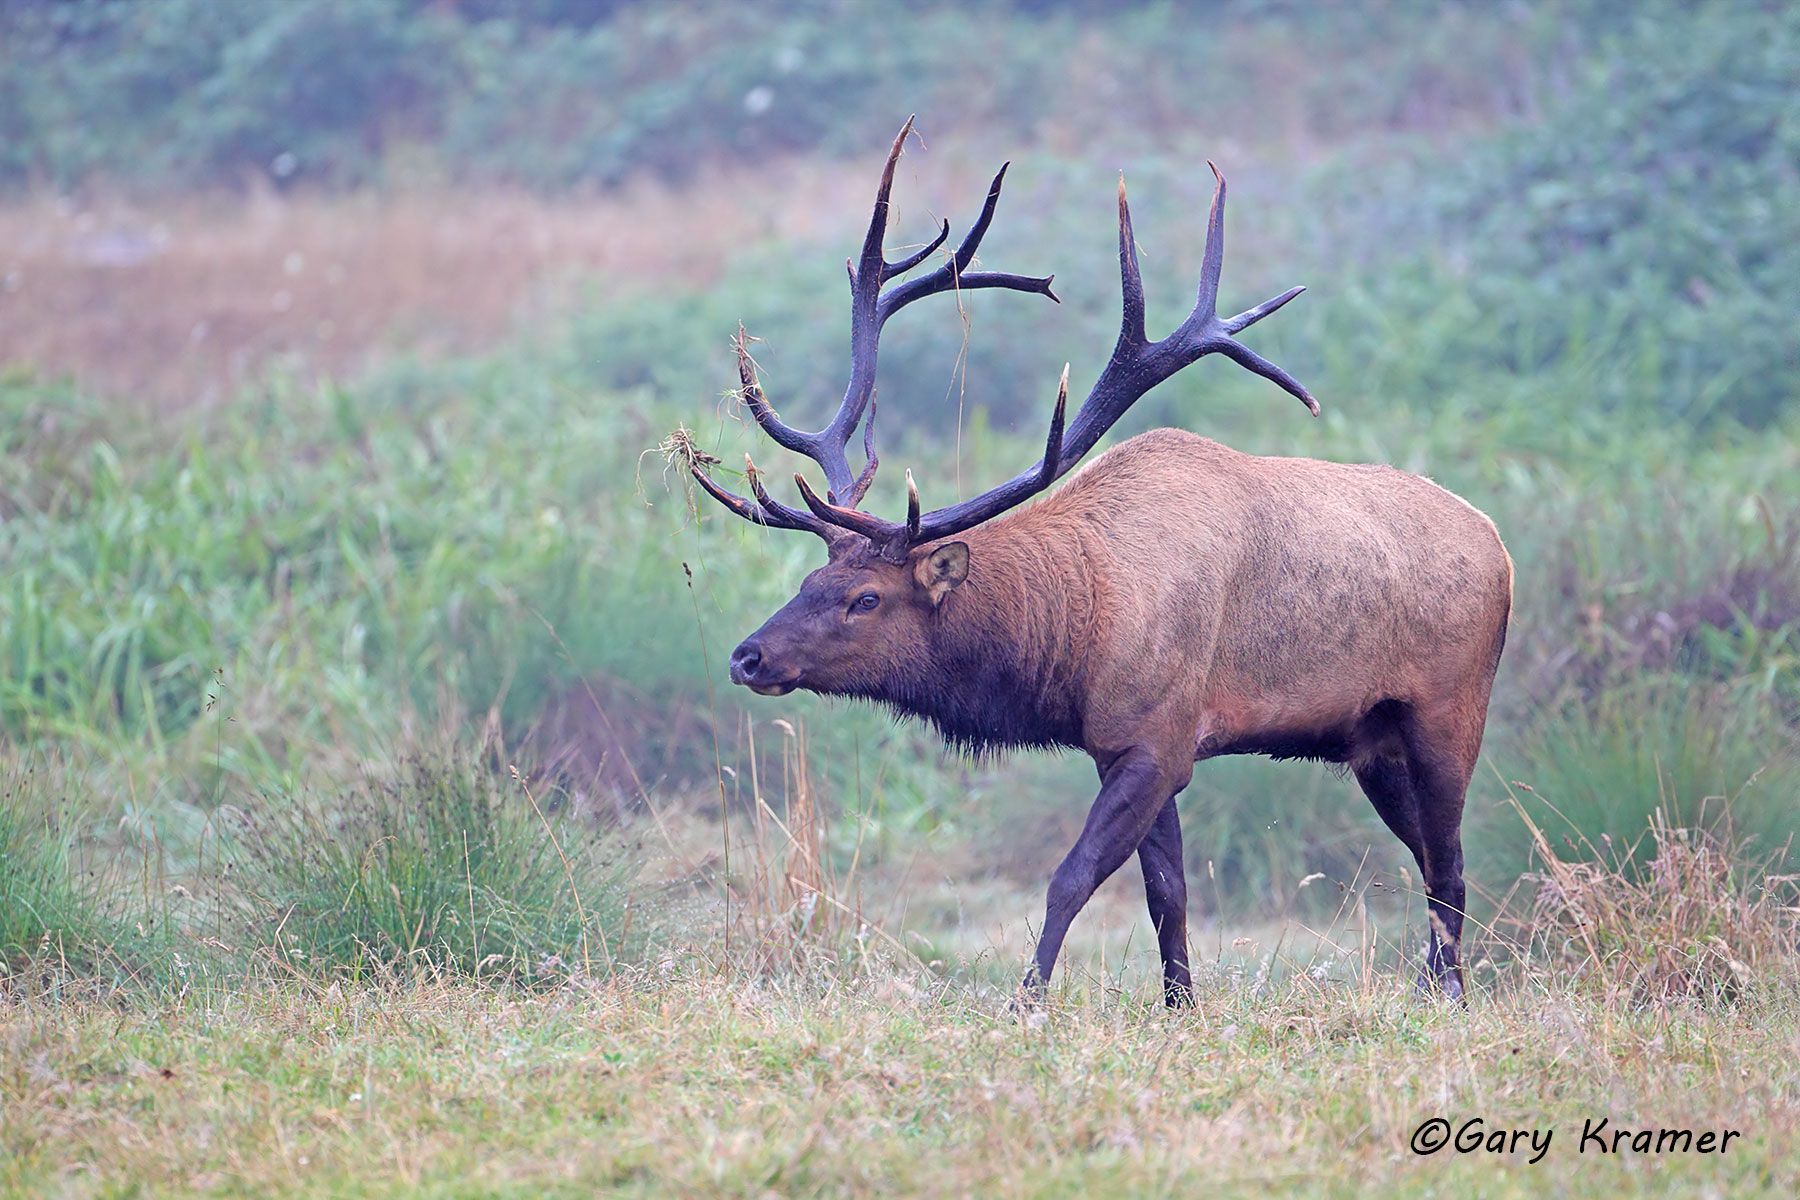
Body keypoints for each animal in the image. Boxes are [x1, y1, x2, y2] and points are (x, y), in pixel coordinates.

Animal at [682, 120, 1512, 1006]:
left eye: (865, 598)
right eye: (810, 580)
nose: (747, 656)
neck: (1076, 632)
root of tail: (1500, 548)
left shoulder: (1154, 739)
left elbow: (1071, 878)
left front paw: (1027, 1000)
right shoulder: (1131, 747)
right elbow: (1167, 895)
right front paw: (1181, 1005)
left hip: (1448, 713)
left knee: (1451, 865)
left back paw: (1446, 993)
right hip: (1374, 741)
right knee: (1434, 862)